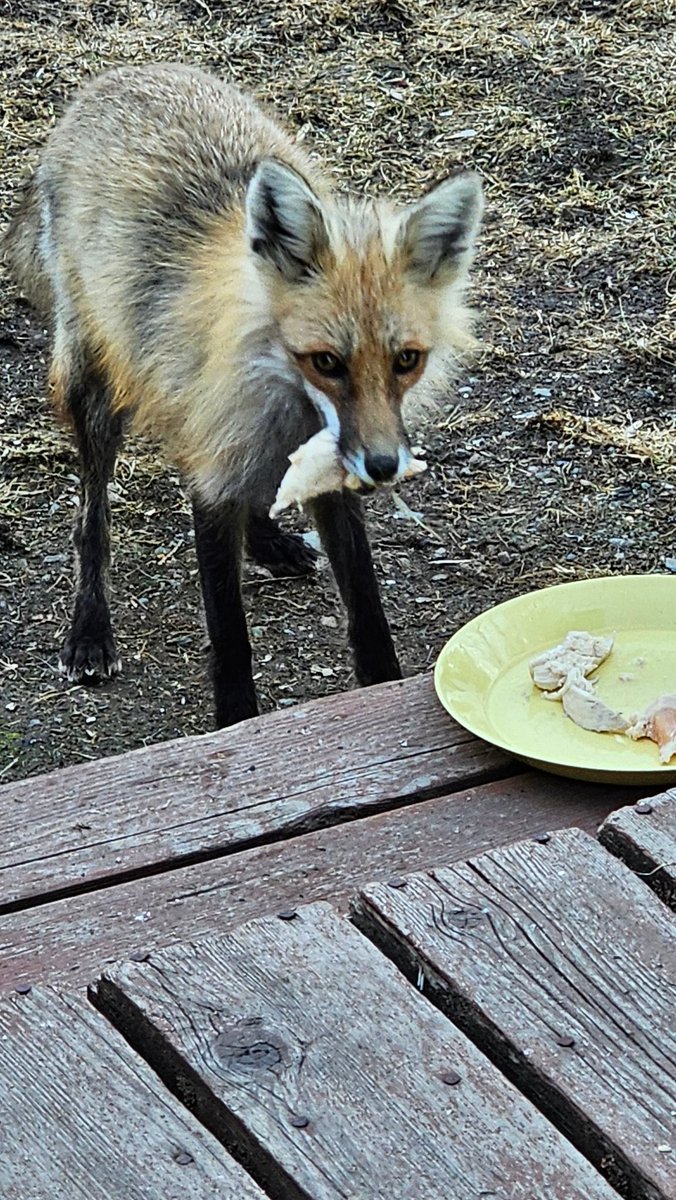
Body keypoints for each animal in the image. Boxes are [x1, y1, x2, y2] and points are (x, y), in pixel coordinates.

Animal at [3, 63, 483, 729]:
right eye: (326, 362)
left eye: (406, 361)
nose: (384, 467)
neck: (284, 396)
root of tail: (124, 74)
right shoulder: (214, 474)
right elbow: (229, 635)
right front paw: (235, 722)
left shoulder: (326, 470)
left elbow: (366, 608)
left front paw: (382, 693)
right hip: (95, 387)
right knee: (91, 519)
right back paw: (90, 628)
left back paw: (266, 539)